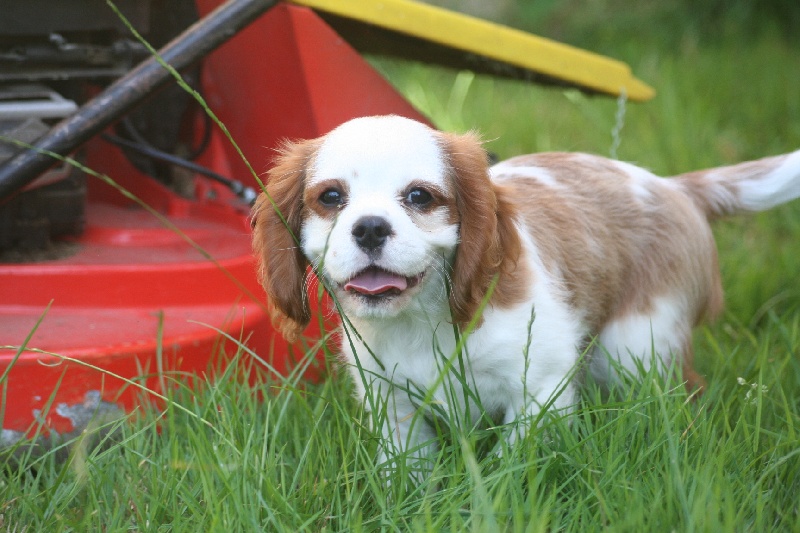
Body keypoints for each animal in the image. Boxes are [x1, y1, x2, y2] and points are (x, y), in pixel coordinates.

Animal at [253, 115, 800, 470]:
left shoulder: (541, 389)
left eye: (419, 197)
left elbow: (511, 466)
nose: (368, 228)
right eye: (330, 198)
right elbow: (407, 470)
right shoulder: (393, 406)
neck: (421, 321)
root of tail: (673, 187)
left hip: (635, 345)